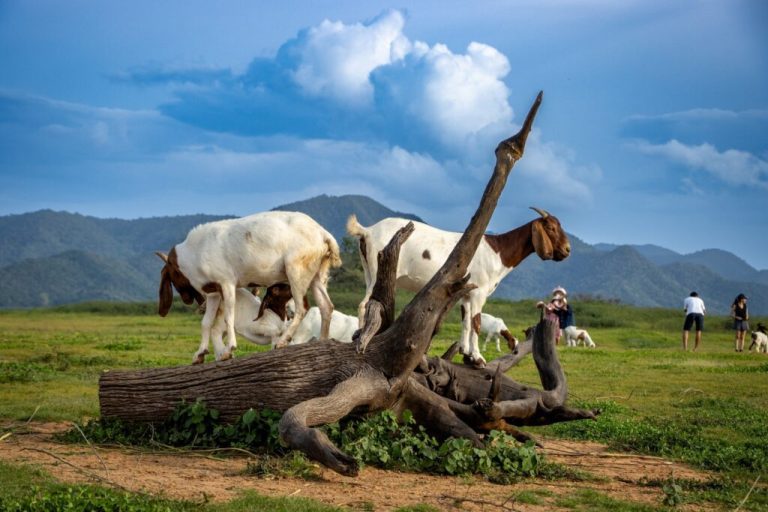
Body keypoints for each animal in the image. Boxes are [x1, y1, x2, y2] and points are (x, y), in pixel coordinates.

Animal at [156, 211, 342, 363]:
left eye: (172, 276)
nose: (187, 300)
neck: (195, 251)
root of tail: (323, 234)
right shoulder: (213, 293)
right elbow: (206, 323)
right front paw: (199, 354)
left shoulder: (227, 283)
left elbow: (229, 317)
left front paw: (228, 350)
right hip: (316, 275)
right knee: (326, 306)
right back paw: (323, 340)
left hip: (296, 270)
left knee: (302, 307)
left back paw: (283, 341)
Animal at [347, 207, 570, 366]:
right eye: (551, 228)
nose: (567, 250)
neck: (497, 252)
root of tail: (368, 231)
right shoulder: (479, 293)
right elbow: (477, 323)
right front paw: (478, 358)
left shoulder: (466, 294)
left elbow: (466, 322)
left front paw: (466, 353)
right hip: (378, 270)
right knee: (364, 304)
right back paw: (362, 339)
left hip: (368, 272)